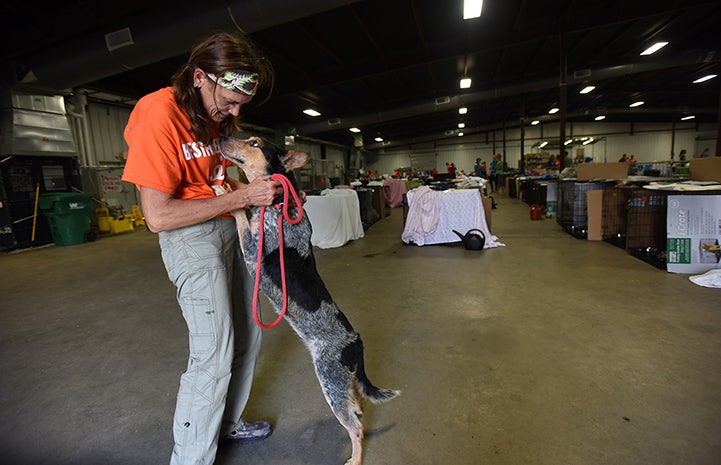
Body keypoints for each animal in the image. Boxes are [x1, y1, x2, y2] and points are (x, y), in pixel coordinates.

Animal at [217, 135, 402, 464]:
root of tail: (356, 341)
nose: (222, 137)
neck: (281, 203)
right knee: (357, 400)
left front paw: (226, 190)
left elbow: (240, 215)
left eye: (254, 142)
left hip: (329, 380)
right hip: (343, 379)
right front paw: (233, 185)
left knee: (355, 427)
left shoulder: (252, 249)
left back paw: (355, 458)